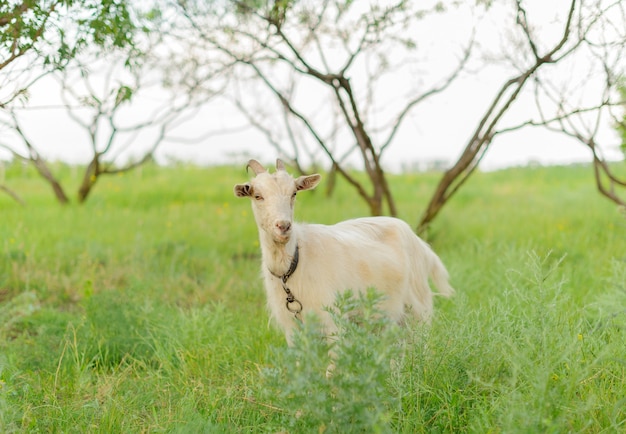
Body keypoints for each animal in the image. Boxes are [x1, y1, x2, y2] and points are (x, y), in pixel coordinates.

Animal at [234, 158, 454, 344]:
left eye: (294, 193)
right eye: (258, 196)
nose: (284, 226)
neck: (295, 262)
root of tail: (419, 242)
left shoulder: (332, 317)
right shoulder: (291, 325)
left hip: (418, 306)